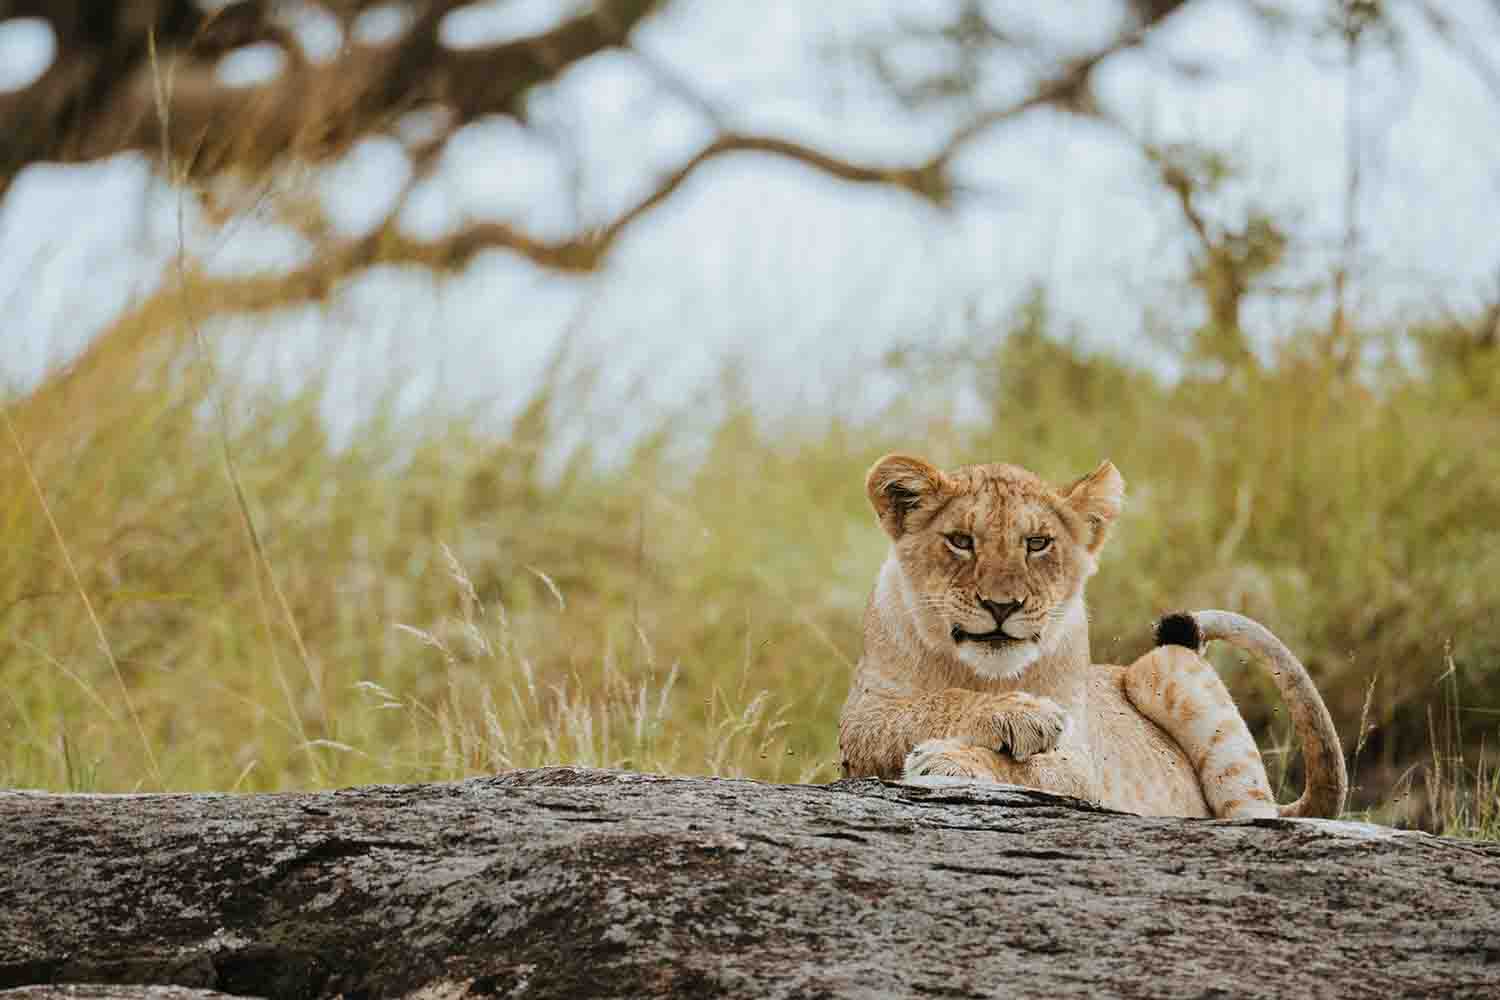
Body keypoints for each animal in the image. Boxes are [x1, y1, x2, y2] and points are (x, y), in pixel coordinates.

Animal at [837, 454, 1347, 819]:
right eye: (961, 541)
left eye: (1037, 543)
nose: (1002, 606)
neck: (984, 673)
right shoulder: (860, 721)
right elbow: (931, 704)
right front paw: (1016, 715)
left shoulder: (1080, 764)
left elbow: (1030, 767)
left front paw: (953, 758)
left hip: (1163, 666)